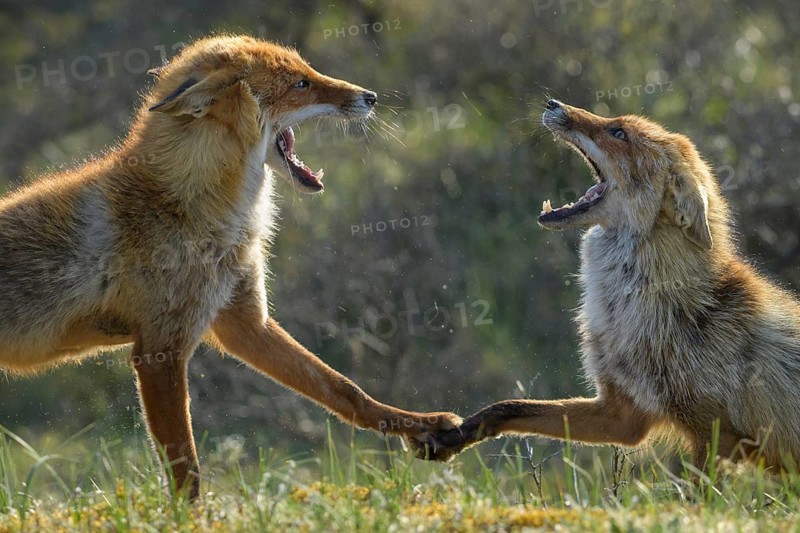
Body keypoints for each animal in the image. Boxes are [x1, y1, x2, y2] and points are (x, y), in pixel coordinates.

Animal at [0, 35, 460, 499]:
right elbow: (186, 469)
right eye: (300, 84)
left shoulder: (244, 322)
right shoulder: (159, 350)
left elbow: (345, 391)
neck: (201, 210)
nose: (370, 97)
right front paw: (190, 515)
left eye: (308, 72)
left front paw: (421, 427)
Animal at [421, 100, 800, 471]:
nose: (552, 103)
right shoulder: (622, 415)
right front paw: (451, 436)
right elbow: (509, 406)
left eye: (618, 133)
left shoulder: (717, 434)